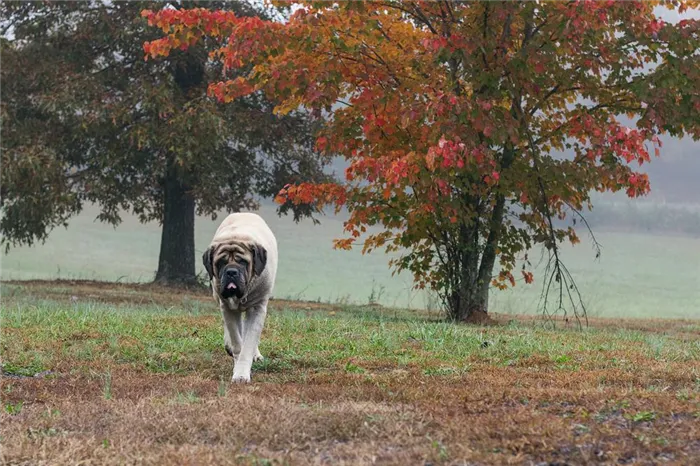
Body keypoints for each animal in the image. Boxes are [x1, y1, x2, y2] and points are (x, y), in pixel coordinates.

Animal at [201, 213, 278, 384]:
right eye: (221, 262)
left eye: (243, 262)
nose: (231, 271)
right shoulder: (227, 307)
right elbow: (237, 341)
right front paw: (237, 363)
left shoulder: (257, 308)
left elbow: (248, 343)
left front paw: (242, 373)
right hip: (219, 299)